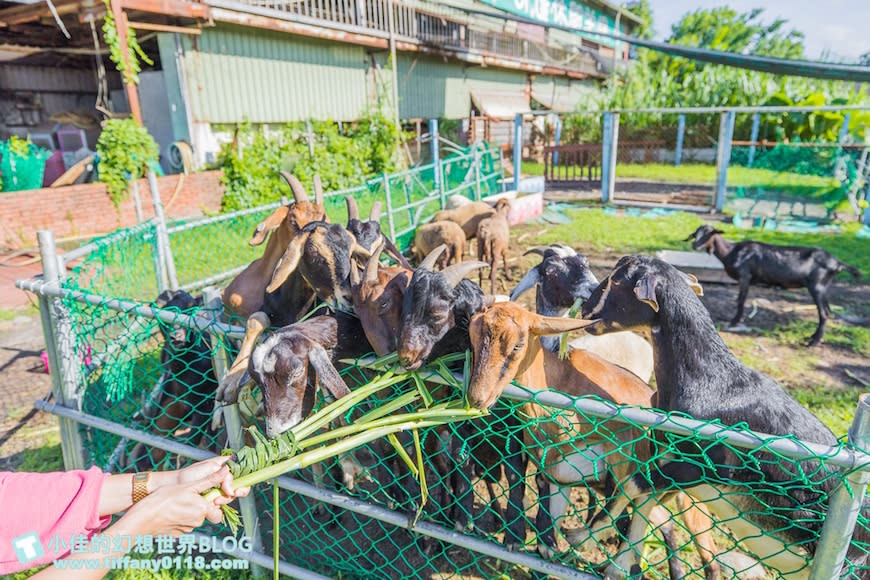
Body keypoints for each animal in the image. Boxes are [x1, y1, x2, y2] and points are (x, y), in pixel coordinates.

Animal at [580, 256, 870, 576]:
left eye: (618, 281)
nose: (585, 310)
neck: (713, 380)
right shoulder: (666, 455)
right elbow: (642, 496)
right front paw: (615, 561)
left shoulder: (704, 466)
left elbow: (636, 484)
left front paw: (583, 537)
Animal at [688, 224, 864, 346]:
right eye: (696, 234)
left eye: (710, 233)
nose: (694, 246)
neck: (731, 251)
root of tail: (838, 263)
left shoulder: (745, 276)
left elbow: (740, 300)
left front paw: (735, 321)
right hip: (823, 287)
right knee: (827, 310)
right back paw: (813, 337)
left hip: (817, 286)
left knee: (824, 312)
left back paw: (813, 342)